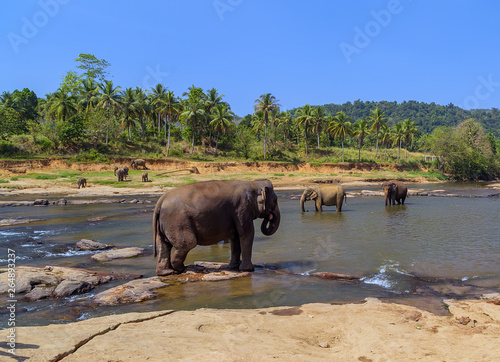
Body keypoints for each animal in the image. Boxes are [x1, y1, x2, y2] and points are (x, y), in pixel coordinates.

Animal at [152, 180, 282, 276]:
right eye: (275, 200)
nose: (269, 216)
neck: (253, 183)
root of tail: (160, 202)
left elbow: (235, 237)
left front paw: (234, 267)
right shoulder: (242, 208)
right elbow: (246, 233)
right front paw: (248, 269)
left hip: (165, 224)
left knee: (163, 245)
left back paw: (167, 273)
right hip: (177, 222)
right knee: (187, 243)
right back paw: (181, 269)